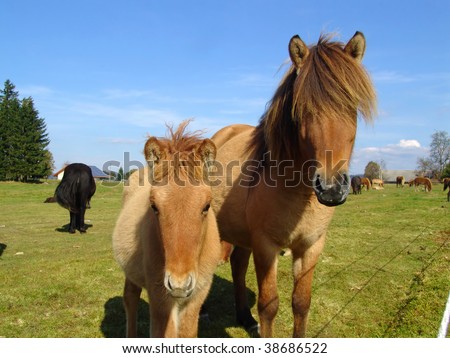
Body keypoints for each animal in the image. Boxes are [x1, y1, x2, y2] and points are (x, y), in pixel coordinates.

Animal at [112, 121, 221, 338]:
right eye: (154, 206)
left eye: (206, 206)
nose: (179, 284)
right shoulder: (160, 298)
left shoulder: (197, 296)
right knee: (130, 298)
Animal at [210, 32, 376, 338]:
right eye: (302, 109)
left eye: (352, 106)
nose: (331, 188)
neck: (298, 193)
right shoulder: (266, 246)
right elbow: (269, 305)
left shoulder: (311, 246)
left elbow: (301, 303)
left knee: (238, 264)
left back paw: (245, 318)